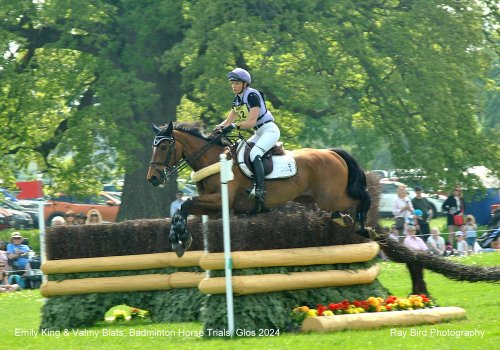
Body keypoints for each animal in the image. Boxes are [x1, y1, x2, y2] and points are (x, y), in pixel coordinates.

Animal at [146, 121, 370, 256]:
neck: (212, 160)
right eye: (153, 147)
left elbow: (186, 204)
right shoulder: (213, 208)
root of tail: (333, 153)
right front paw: (178, 239)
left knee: (361, 198)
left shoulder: (220, 200)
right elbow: (181, 209)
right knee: (342, 208)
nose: (153, 178)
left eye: (164, 147)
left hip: (330, 197)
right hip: (313, 198)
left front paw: (180, 239)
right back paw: (344, 218)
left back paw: (363, 227)